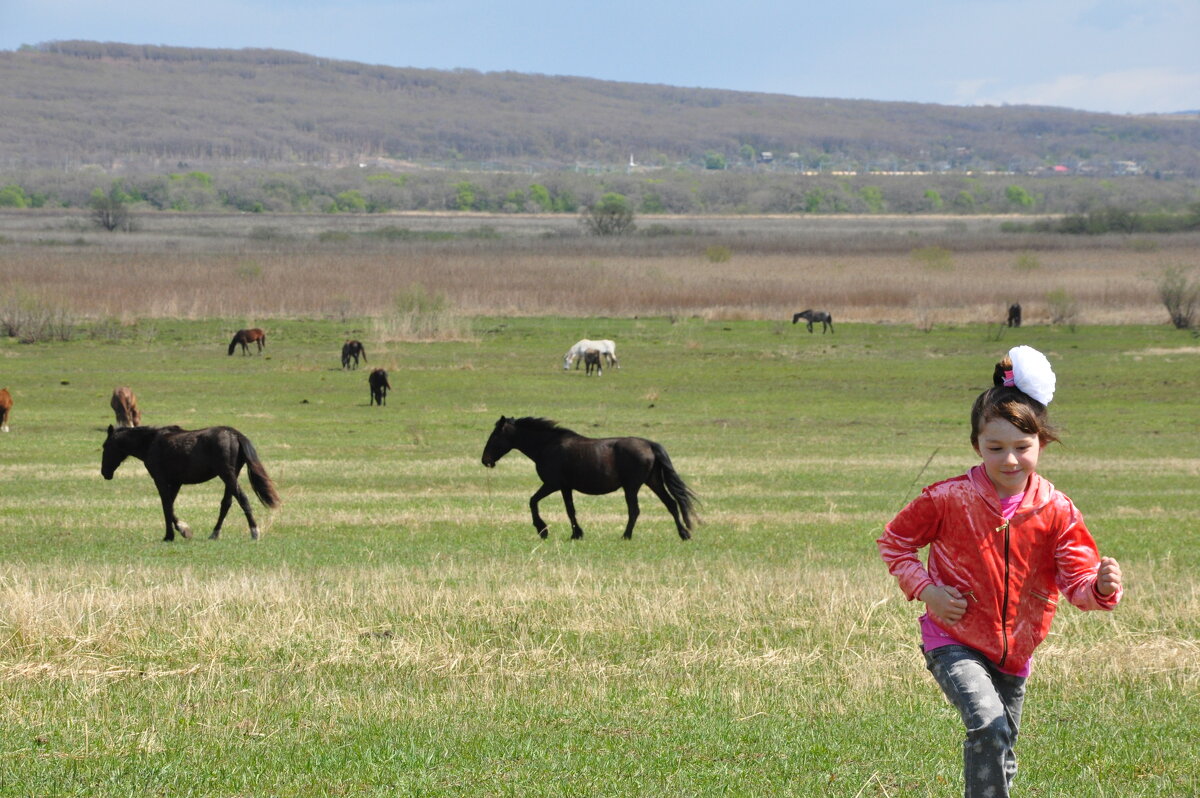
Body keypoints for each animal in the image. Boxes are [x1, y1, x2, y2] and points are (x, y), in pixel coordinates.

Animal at [101, 422, 280, 542]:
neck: (151, 442)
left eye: (105, 446)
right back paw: (214, 534)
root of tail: (235, 435)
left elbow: (166, 505)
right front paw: (182, 530)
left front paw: (173, 534)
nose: (104, 473)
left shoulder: (160, 480)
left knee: (242, 499)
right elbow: (170, 505)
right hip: (231, 476)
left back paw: (254, 532)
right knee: (226, 503)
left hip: (227, 475)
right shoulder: (176, 482)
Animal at [482, 417, 700, 542]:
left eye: (494, 436)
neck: (546, 446)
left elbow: (533, 501)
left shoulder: (552, 484)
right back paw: (684, 534)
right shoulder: (565, 487)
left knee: (635, 510)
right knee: (671, 504)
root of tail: (649, 445)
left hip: (632, 487)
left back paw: (626, 536)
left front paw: (542, 530)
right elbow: (570, 510)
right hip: (653, 481)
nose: (485, 460)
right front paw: (576, 534)